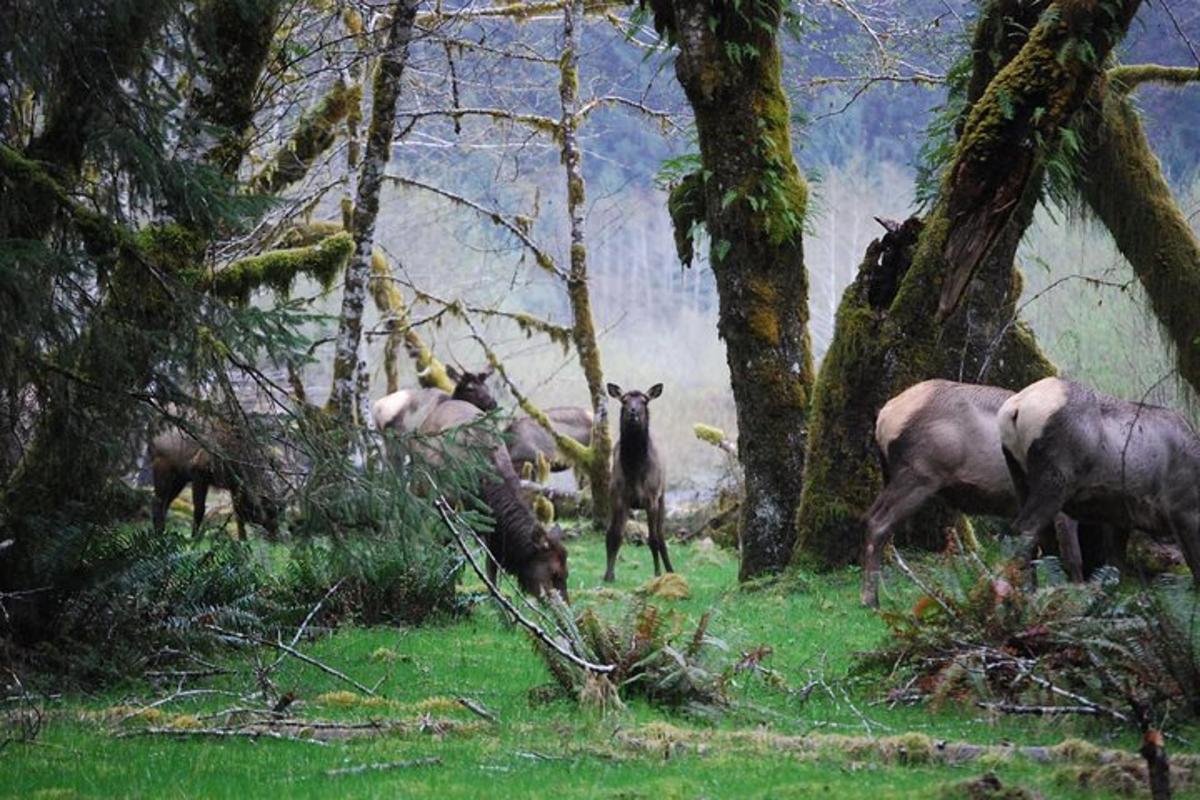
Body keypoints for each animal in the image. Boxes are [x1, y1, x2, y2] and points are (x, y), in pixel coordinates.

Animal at [147, 422, 280, 542]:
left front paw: (243, 540)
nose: (276, 538)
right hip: (162, 466)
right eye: (268, 511)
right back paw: (158, 533)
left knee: (165, 503)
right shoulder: (199, 473)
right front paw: (194, 538)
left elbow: (238, 515)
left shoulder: (233, 486)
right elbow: (199, 509)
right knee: (157, 501)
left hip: (180, 477)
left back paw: (161, 532)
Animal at [417, 400, 566, 599]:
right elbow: (448, 553)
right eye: (554, 572)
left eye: (567, 573)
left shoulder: (492, 529)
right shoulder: (447, 507)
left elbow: (491, 571)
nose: (568, 606)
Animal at [604, 381, 672, 582]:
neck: (634, 473)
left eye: (644, 400)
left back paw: (670, 570)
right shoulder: (618, 498)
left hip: (662, 497)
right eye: (624, 400)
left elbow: (653, 539)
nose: (633, 412)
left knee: (661, 535)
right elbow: (613, 535)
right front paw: (609, 574)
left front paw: (657, 574)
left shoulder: (651, 498)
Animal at [859, 381, 1084, 606]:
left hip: (894, 476)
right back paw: (870, 599)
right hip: (918, 476)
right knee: (878, 523)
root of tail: (884, 415)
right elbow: (1072, 557)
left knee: (871, 517)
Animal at [993, 379, 1200, 585]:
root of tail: (1016, 407)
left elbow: (1116, 565)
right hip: (1054, 481)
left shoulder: (1120, 517)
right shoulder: (1184, 511)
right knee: (1025, 529)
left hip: (1020, 477)